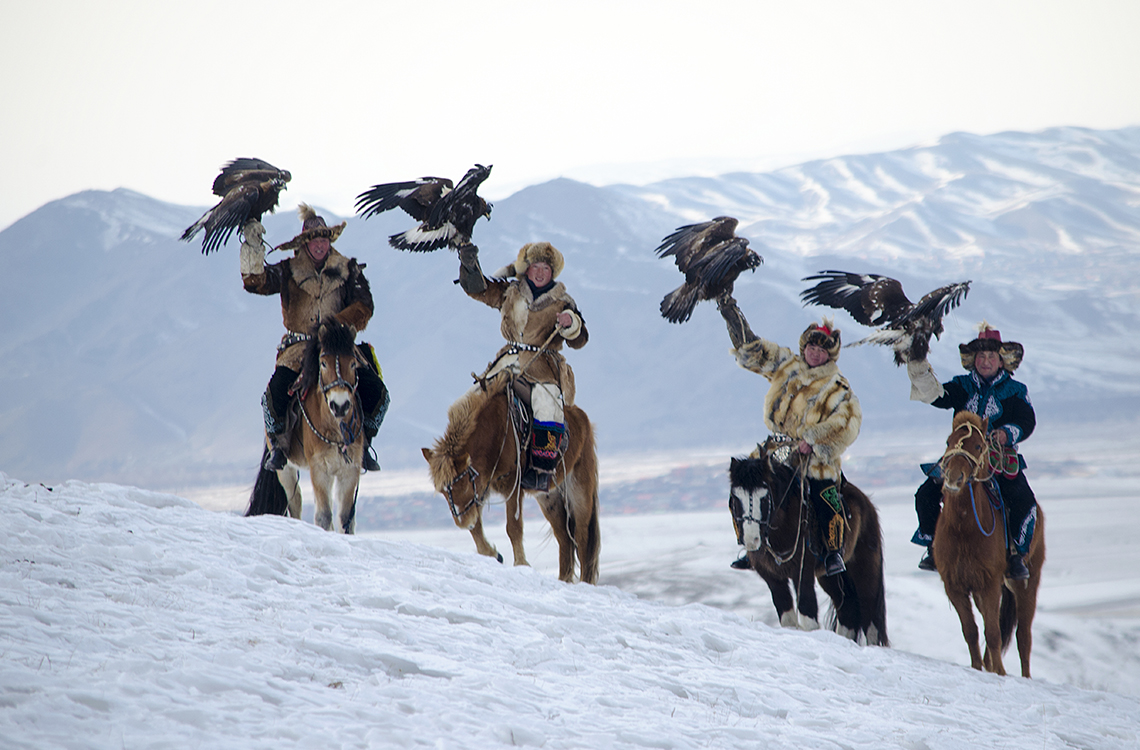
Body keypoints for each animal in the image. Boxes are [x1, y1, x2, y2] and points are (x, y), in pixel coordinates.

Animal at [248, 319, 364, 533]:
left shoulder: (349, 470)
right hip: (285, 469)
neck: (334, 429)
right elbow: (323, 516)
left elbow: (346, 518)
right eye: (323, 363)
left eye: (353, 363)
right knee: (295, 501)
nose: (340, 405)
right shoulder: (319, 469)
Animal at [421, 373, 601, 583]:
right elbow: (477, 528)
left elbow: (513, 527)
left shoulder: (512, 488)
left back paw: (584, 582)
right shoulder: (481, 490)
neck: (494, 432)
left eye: (464, 484)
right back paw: (564, 579)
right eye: (443, 491)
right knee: (564, 537)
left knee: (581, 537)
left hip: (579, 491)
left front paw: (521, 564)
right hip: (549, 497)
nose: (462, 523)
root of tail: (583, 419)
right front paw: (493, 554)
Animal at [729, 437, 889, 642]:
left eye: (764, 497)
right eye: (735, 497)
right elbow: (788, 619)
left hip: (865, 570)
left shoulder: (802, 572)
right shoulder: (772, 578)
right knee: (848, 608)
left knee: (871, 620)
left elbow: (807, 616)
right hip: (830, 577)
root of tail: (867, 503)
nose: (751, 540)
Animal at [930, 408, 1044, 679]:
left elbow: (992, 633)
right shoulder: (956, 586)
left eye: (979, 445)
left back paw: (1024, 676)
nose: (953, 479)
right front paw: (978, 668)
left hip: (1027, 583)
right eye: (949, 442)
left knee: (1023, 636)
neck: (963, 529)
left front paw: (1000, 673)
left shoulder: (990, 584)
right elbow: (971, 631)